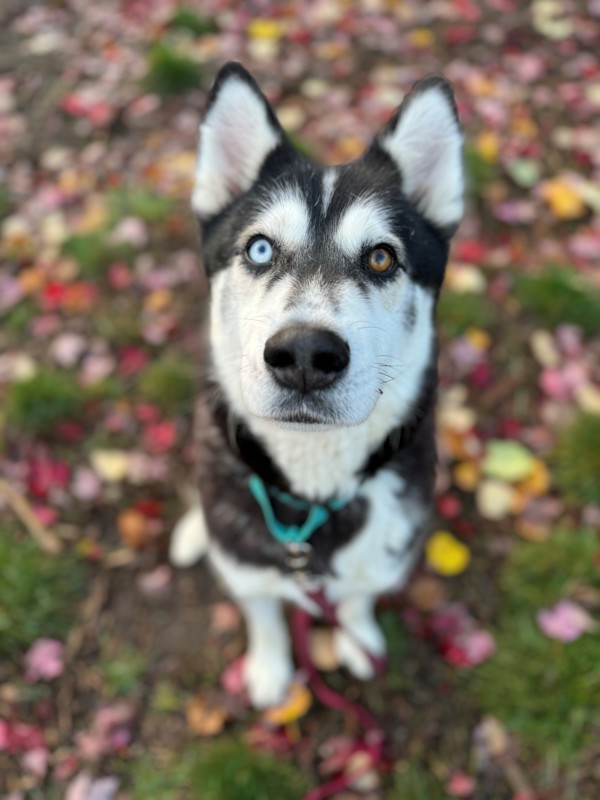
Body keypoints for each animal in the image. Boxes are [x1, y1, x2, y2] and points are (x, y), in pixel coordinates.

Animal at [169, 65, 464, 708]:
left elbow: (356, 598)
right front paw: (271, 670)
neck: (312, 497)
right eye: (259, 248)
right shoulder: (250, 569)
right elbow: (264, 614)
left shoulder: (383, 557)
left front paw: (356, 639)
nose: (305, 354)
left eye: (381, 258)